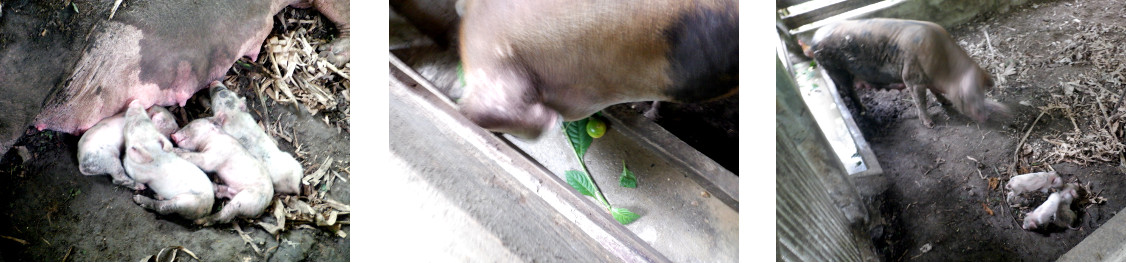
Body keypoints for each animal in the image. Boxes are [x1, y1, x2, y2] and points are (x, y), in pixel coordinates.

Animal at [801, 17, 1013, 128]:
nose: (985, 116)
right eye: (968, 97)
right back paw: (864, 110)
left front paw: (945, 102)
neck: (945, 69)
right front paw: (929, 124)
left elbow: (934, 93)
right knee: (849, 92)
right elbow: (920, 101)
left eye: (982, 92)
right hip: (836, 70)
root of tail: (813, 40)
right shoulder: (911, 77)